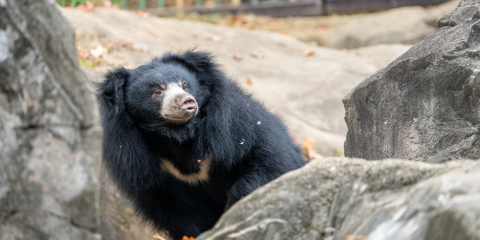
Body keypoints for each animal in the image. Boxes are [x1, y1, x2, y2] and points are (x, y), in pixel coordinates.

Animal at [96, 51, 304, 240]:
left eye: (185, 85)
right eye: (157, 92)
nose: (187, 101)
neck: (178, 136)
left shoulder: (235, 129)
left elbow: (266, 167)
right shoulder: (142, 164)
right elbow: (185, 215)